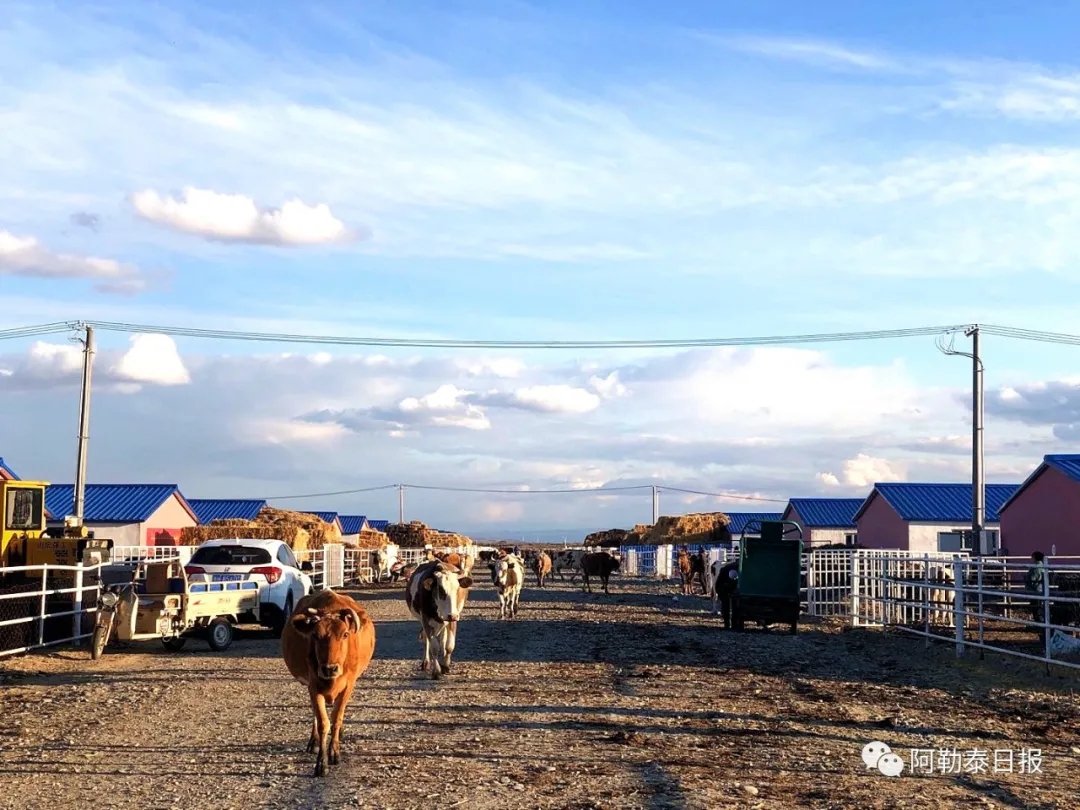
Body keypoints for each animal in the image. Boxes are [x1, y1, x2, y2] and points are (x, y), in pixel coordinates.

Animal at [281, 589, 376, 777]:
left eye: (345, 634)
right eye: (315, 636)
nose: (329, 669)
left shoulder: (348, 686)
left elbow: (336, 718)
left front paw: (334, 752)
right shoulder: (313, 687)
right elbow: (323, 722)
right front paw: (321, 763)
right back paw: (313, 742)